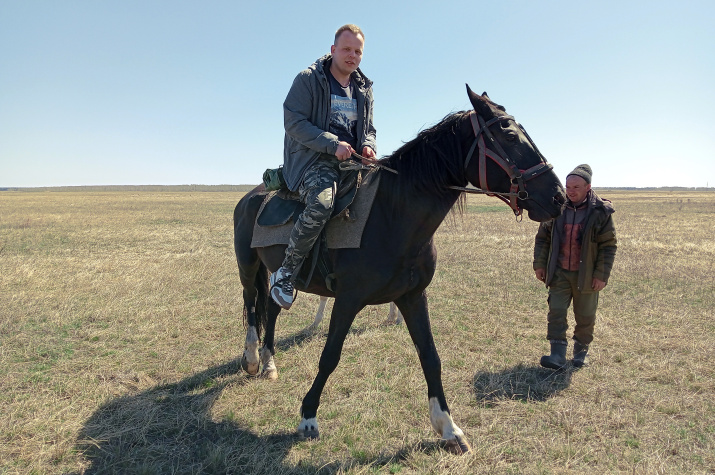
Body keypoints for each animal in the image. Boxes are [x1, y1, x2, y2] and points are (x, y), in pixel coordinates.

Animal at [234, 85, 564, 454]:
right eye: (508, 136)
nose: (558, 196)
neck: (392, 216)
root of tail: (252, 195)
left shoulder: (413, 296)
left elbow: (430, 357)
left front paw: (449, 428)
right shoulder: (347, 300)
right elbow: (330, 355)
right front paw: (308, 417)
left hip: (277, 271)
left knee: (272, 307)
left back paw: (269, 363)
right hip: (248, 267)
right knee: (251, 305)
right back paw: (252, 359)